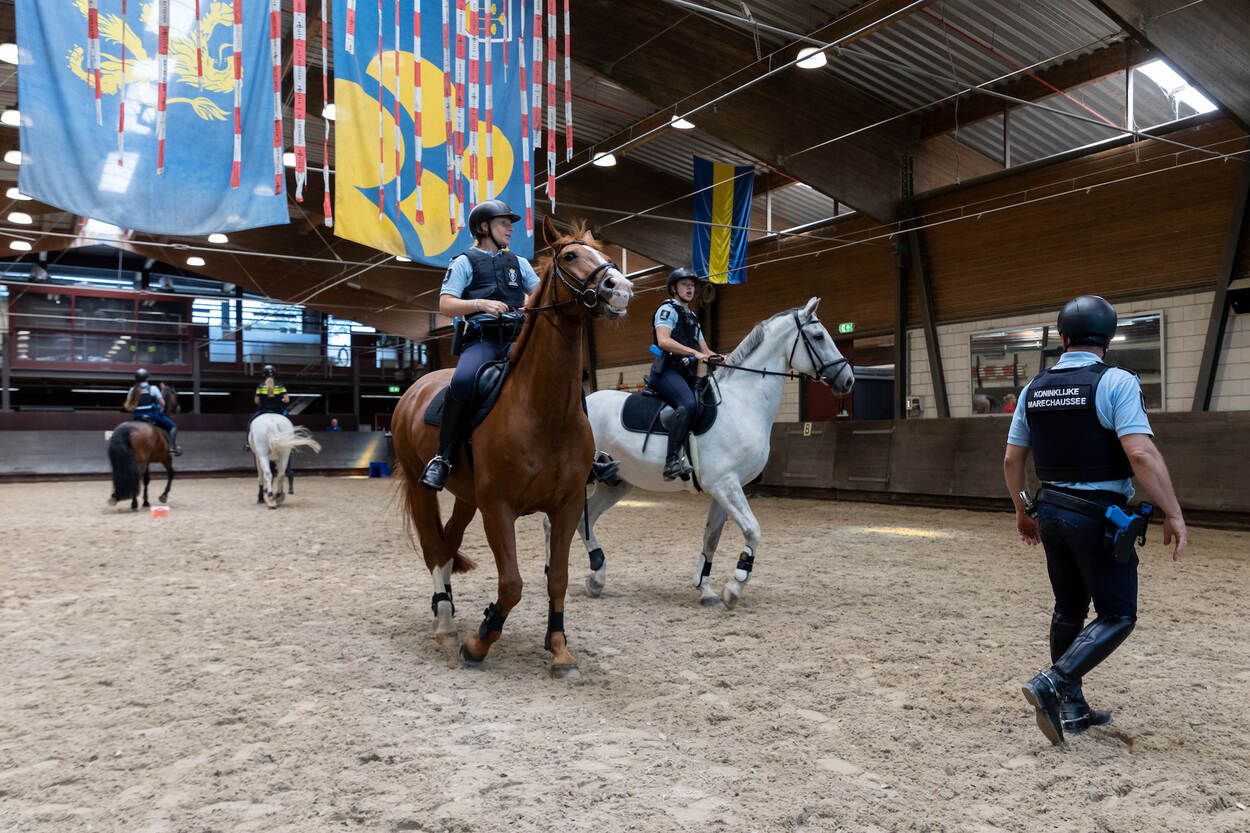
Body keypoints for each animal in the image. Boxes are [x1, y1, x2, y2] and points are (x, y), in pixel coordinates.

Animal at [392, 220, 635, 675]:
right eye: (570, 256)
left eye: (605, 253)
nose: (621, 289)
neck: (543, 411)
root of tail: (415, 389)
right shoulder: (498, 507)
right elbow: (512, 583)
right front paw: (480, 641)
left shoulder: (567, 505)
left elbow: (557, 578)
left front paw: (559, 648)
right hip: (422, 487)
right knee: (434, 547)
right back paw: (445, 621)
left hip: (466, 496)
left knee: (448, 542)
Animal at [552, 296, 855, 602]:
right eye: (818, 336)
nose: (848, 379)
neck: (742, 402)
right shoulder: (724, 484)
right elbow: (753, 530)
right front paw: (735, 584)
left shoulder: (728, 486)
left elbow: (712, 536)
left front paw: (706, 589)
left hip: (615, 483)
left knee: (578, 521)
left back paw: (595, 577)